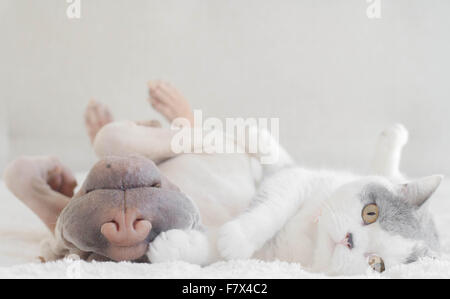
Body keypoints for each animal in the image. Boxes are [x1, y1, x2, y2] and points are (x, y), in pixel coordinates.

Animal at [149, 124, 442, 276]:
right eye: (371, 212)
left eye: (377, 264)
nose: (349, 239)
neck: (311, 239)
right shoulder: (300, 181)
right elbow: (273, 205)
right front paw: (240, 234)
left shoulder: (268, 256)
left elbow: (217, 250)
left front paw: (171, 247)